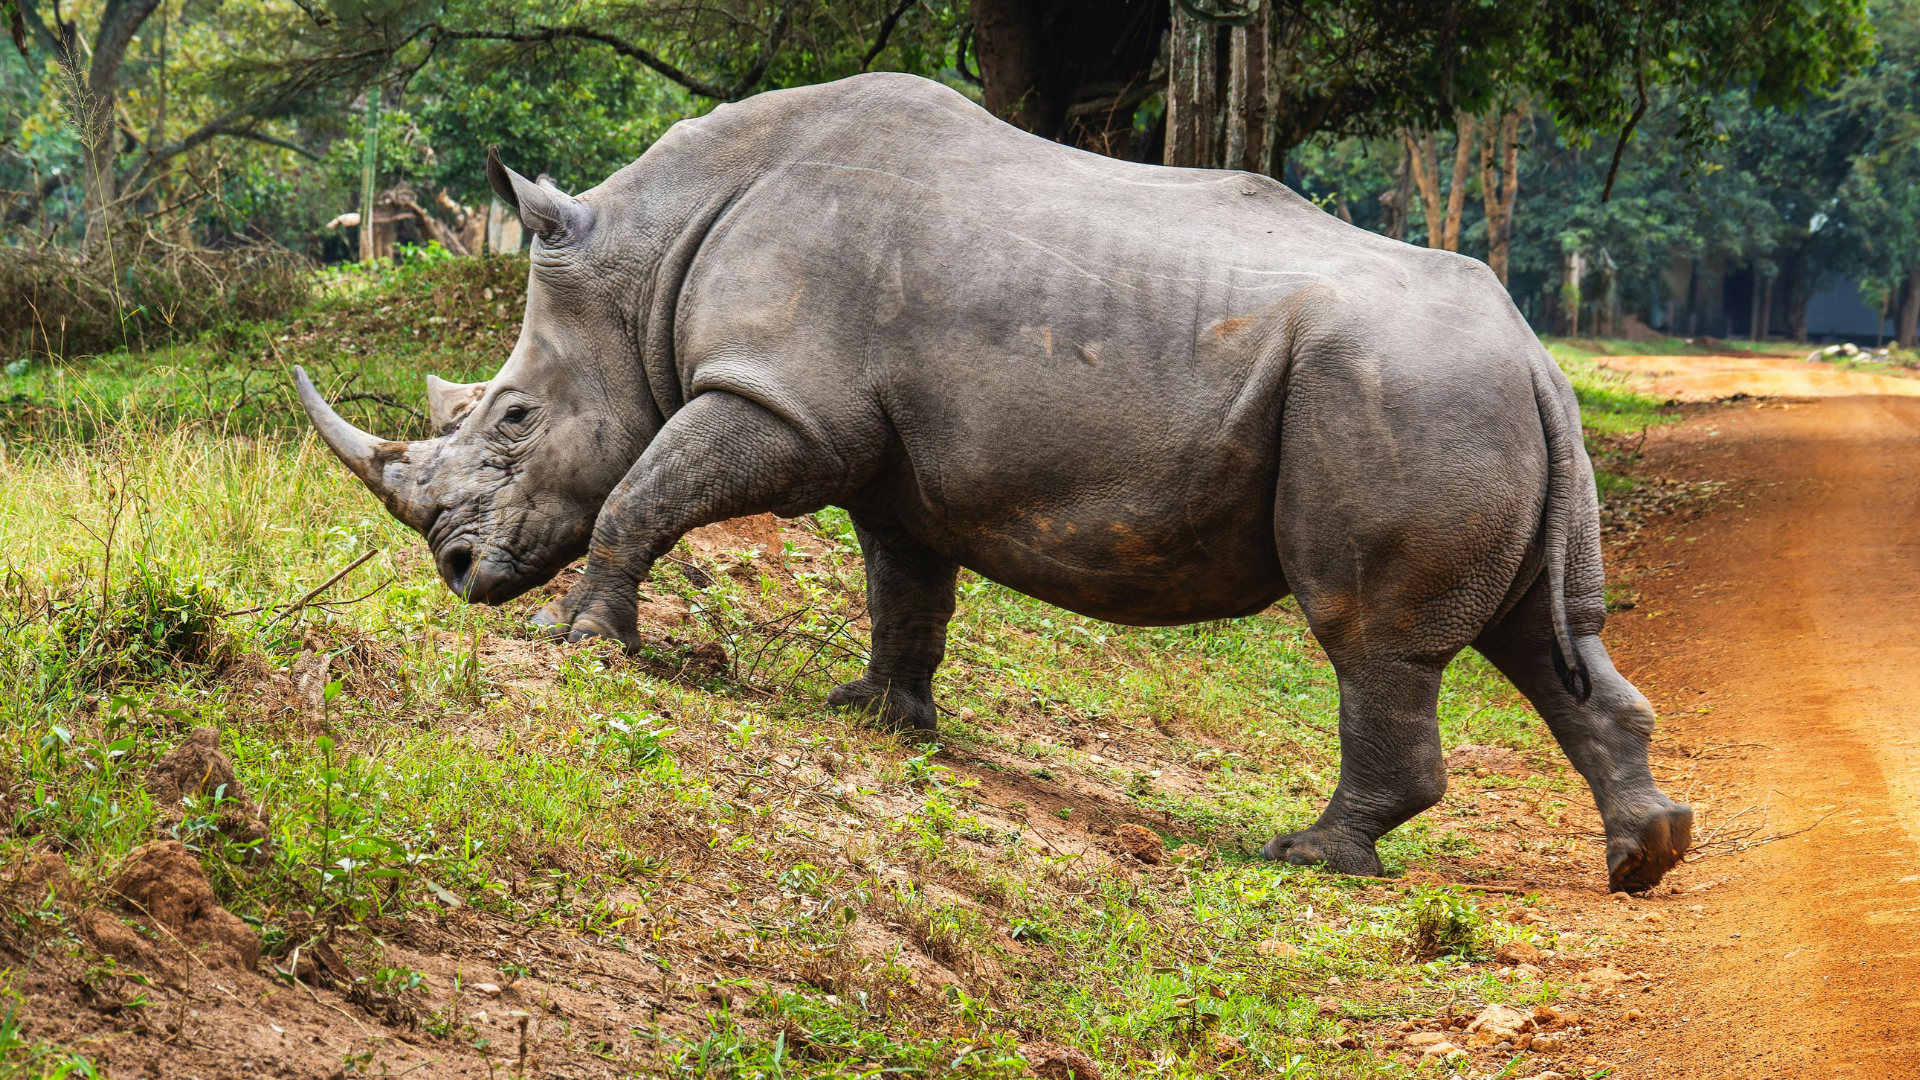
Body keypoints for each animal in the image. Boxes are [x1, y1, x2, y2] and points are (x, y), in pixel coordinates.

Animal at [295, 73, 1690, 892]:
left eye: (515, 418)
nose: (459, 570)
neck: (646, 259)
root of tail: (1538, 357)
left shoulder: (778, 399)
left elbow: (646, 488)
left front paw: (585, 645)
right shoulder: (876, 451)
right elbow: (904, 584)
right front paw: (877, 714)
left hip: (1402, 395)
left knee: (1373, 642)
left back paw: (1312, 856)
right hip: (1463, 403)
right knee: (1539, 638)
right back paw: (1646, 857)